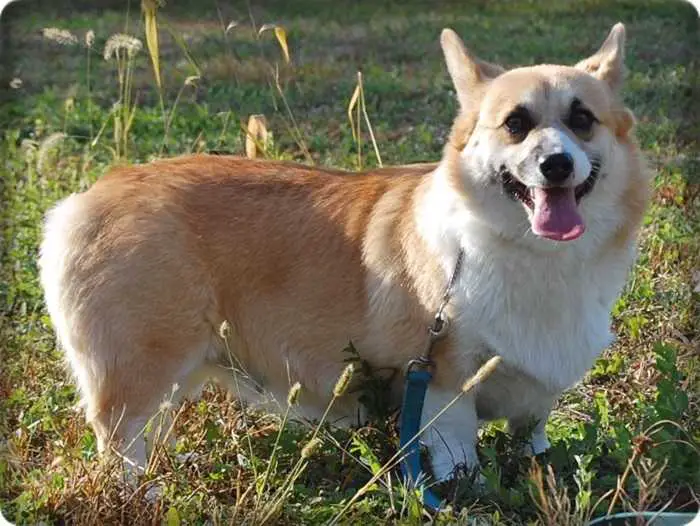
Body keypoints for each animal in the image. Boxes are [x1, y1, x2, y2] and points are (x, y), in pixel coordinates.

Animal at [38, 24, 652, 484]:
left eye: (582, 120)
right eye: (516, 125)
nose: (556, 165)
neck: (533, 256)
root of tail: (81, 201)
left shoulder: (536, 400)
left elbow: (535, 442)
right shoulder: (444, 386)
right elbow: (462, 466)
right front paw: (471, 500)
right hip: (142, 371)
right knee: (123, 448)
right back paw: (144, 496)